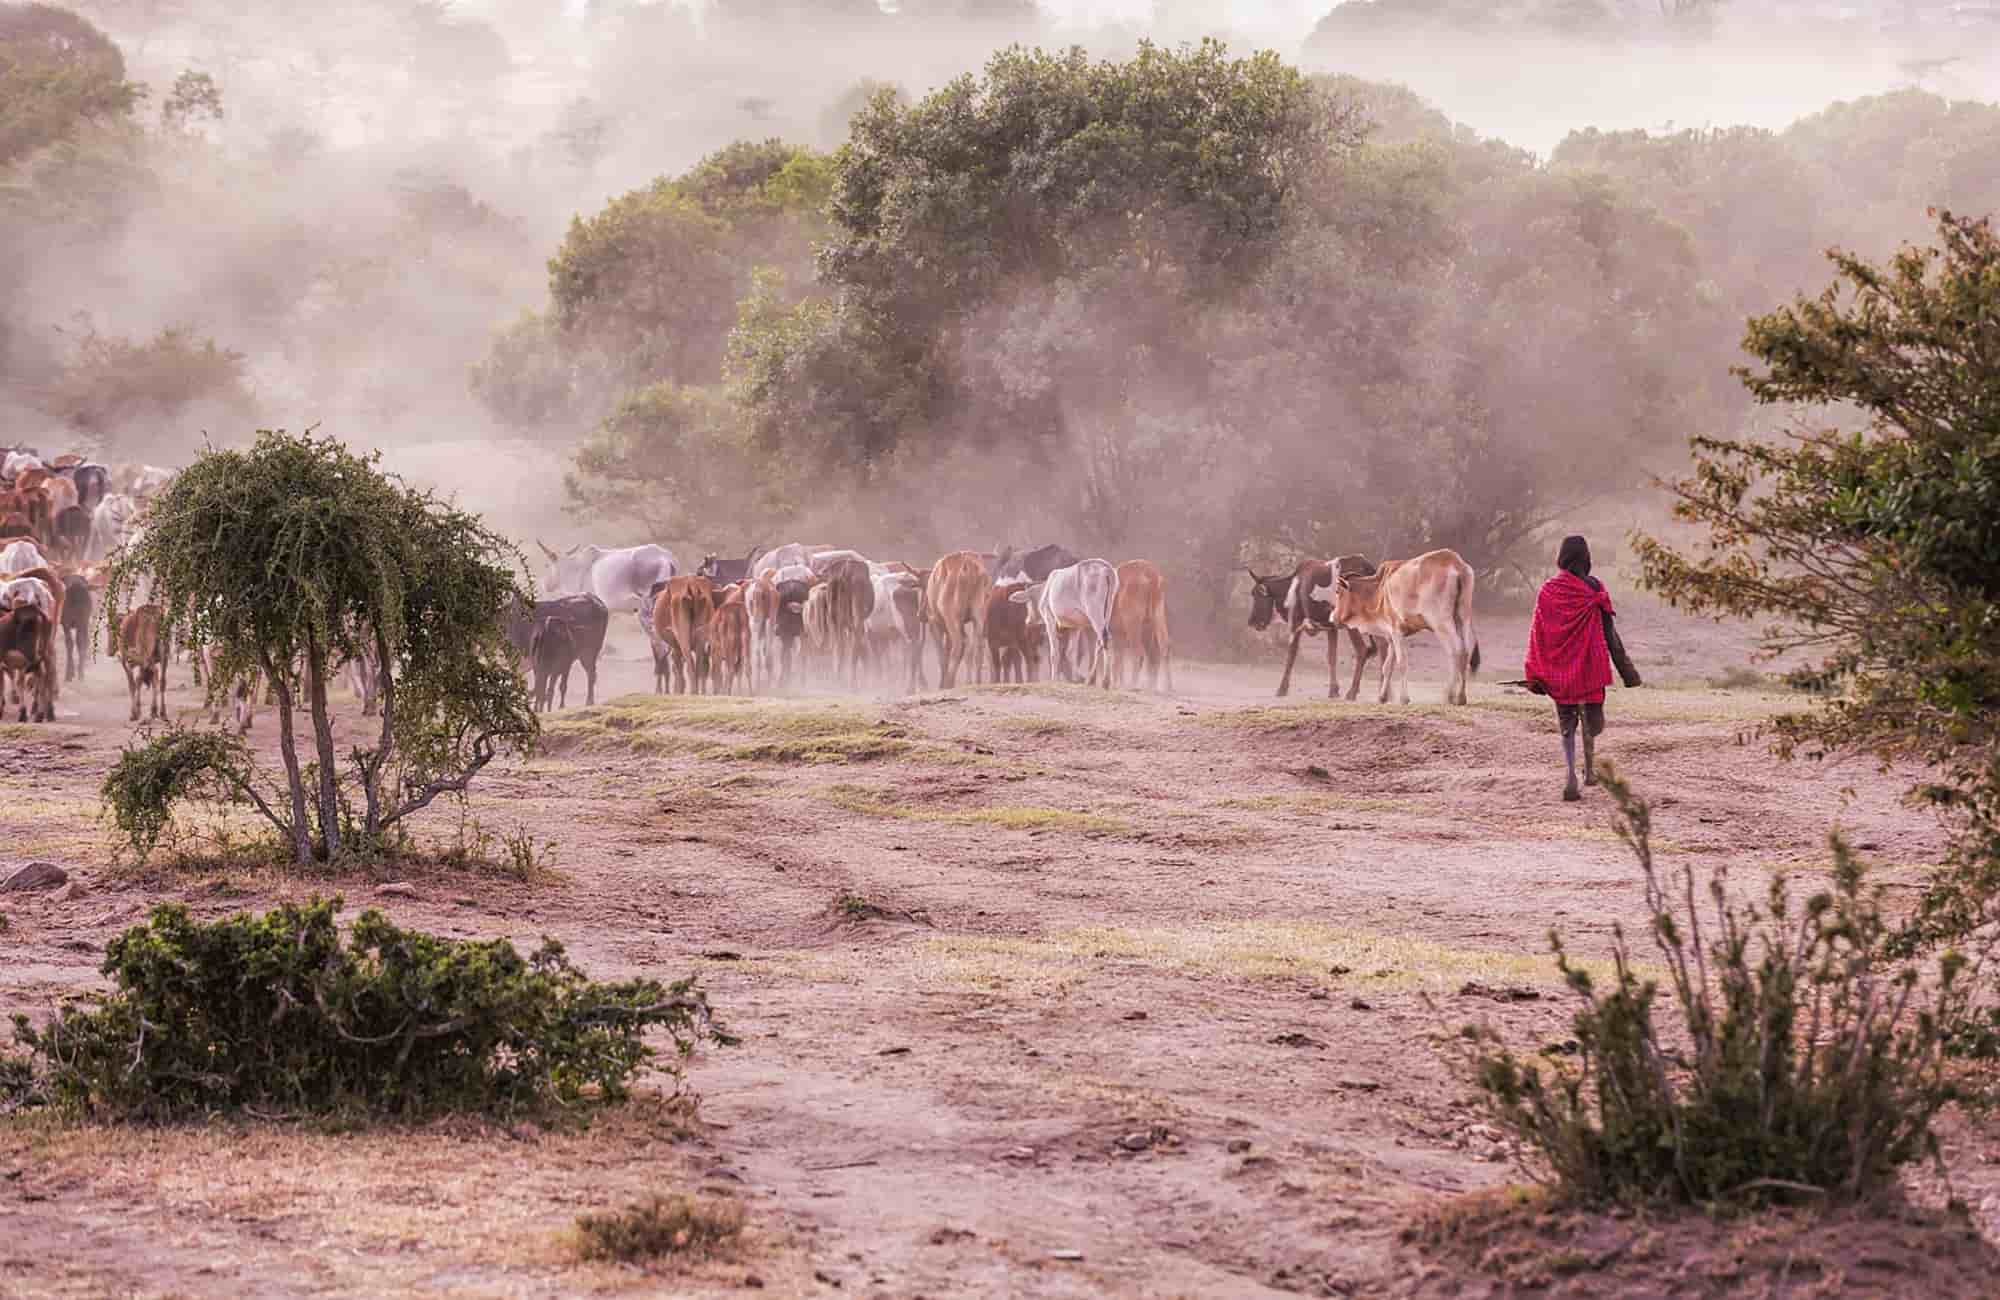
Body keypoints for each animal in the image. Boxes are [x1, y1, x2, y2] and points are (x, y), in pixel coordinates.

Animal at [920, 548, 992, 688]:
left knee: (958, 644)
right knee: (978, 646)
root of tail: (968, 564)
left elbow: (942, 654)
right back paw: (976, 681)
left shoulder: (935, 623)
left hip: (952, 617)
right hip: (978, 614)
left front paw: (943, 683)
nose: (920, 613)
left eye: (923, 588)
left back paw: (950, 682)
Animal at [1008, 556, 1120, 688]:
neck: (1046, 589)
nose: (1028, 620)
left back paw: (1105, 681)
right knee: (1101, 641)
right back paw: (1092, 679)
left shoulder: (1049, 619)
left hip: (1094, 612)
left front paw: (1054, 679)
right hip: (1107, 612)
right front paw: (1078, 678)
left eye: (1028, 602)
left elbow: (1054, 652)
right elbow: (1071, 652)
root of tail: (1105, 568)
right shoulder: (1076, 627)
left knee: (1105, 639)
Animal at [1112, 560, 1168, 692]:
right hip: (1158, 610)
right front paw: (1118, 684)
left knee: (1139, 651)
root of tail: (1152, 576)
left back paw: (1133, 686)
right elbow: (1118, 655)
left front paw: (1116, 684)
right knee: (1162, 647)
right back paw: (1163, 688)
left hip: (1133, 618)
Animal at [1336, 552, 1480, 704]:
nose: (1333, 618)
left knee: (1455, 651)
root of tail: (1456, 563)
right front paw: (1382, 697)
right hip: (1463, 618)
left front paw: (1404, 698)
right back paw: (1461, 697)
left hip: (1441, 623)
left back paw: (1449, 695)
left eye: (1338, 592)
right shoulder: (1391, 636)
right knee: (1466, 651)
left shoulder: (1397, 631)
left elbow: (1401, 663)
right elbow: (1387, 666)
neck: (1380, 590)